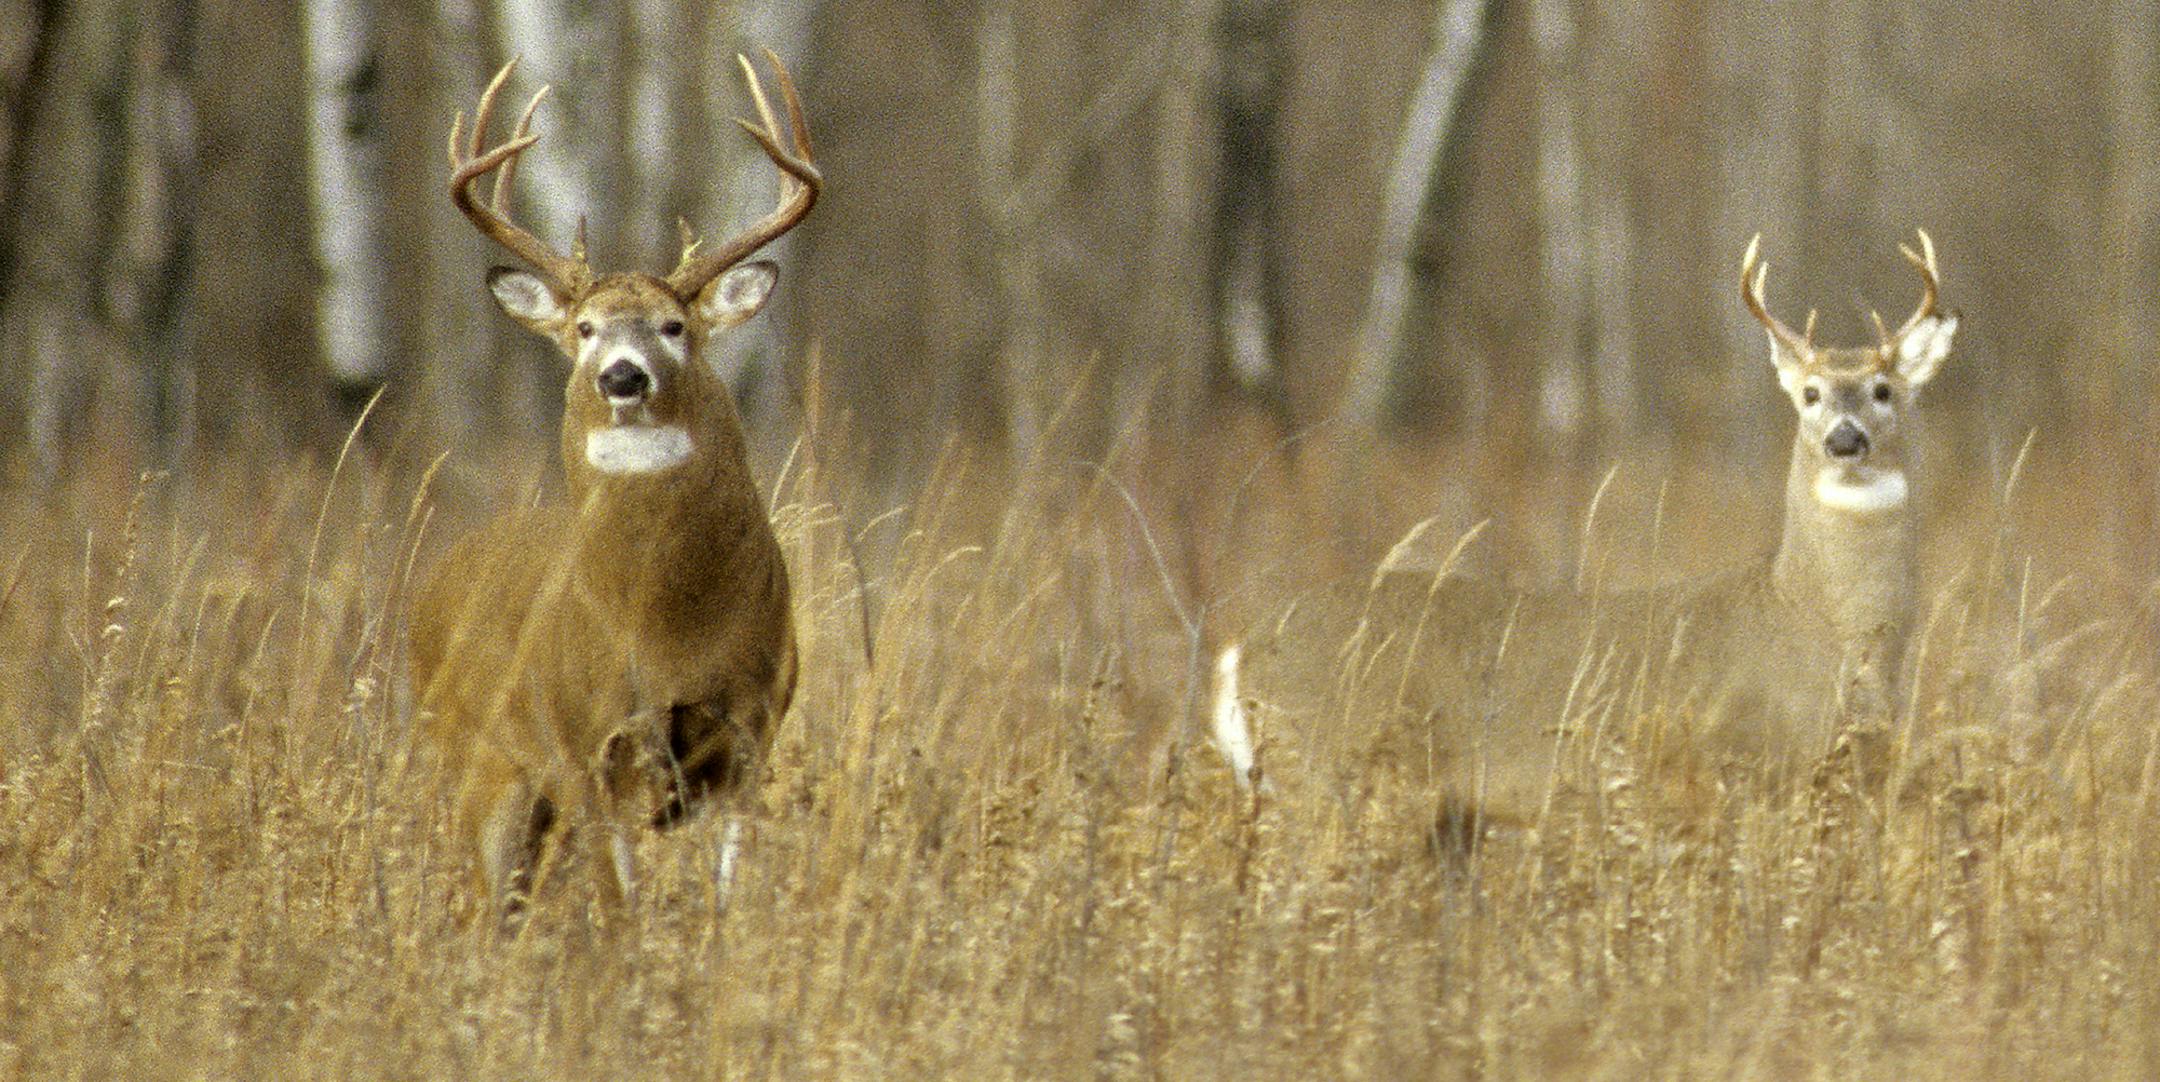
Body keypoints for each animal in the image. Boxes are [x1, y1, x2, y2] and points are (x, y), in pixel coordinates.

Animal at [407, 49, 819, 925]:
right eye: (586, 329)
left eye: (674, 327)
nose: (623, 376)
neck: (667, 630)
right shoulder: (587, 749)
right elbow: (622, 911)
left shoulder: (749, 734)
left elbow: (726, 904)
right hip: (477, 762)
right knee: (484, 907)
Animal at [1212, 232, 1959, 839]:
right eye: (1809, 394)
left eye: (1884, 390)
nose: (1845, 439)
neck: (1821, 625)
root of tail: (1239, 652)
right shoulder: (1741, 772)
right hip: (1336, 778)